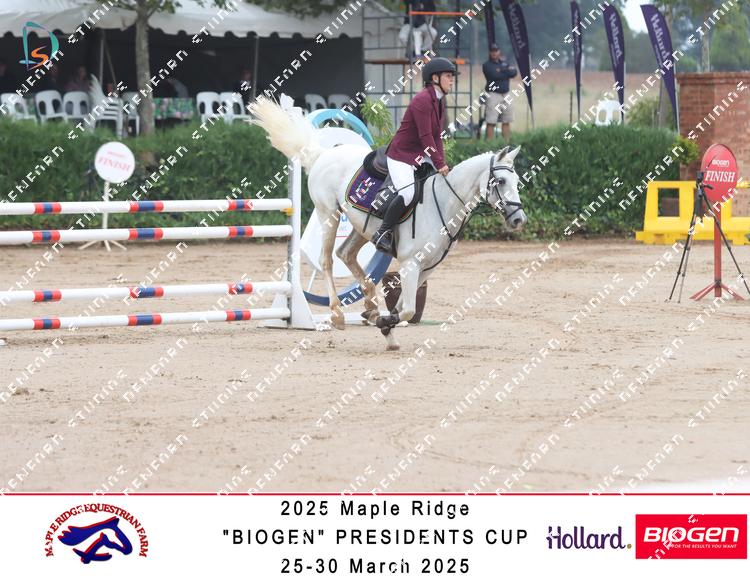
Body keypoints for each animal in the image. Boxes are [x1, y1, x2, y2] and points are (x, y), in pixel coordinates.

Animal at [250, 98, 527, 350]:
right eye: (501, 181)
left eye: (516, 180)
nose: (519, 219)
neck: (445, 201)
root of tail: (323, 154)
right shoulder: (411, 264)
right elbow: (407, 310)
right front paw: (384, 325)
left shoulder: (426, 268)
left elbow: (403, 306)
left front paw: (384, 326)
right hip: (328, 214)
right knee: (326, 260)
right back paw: (338, 313)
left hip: (361, 226)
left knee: (346, 253)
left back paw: (371, 306)